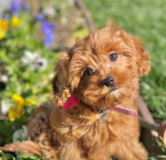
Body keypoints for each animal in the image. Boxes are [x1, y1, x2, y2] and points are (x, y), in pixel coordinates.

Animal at [0, 26, 150, 159]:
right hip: (40, 117)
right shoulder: (67, 134)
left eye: (113, 56)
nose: (108, 80)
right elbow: (70, 154)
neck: (102, 110)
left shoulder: (126, 135)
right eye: (87, 72)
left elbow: (132, 151)